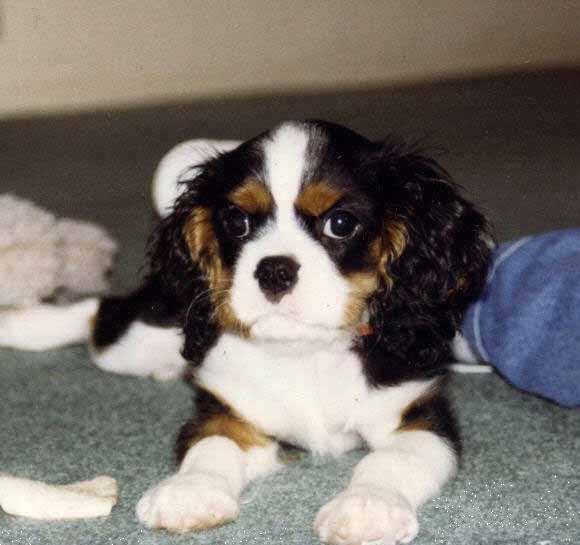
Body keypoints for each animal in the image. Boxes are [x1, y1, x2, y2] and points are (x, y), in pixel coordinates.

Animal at [0, 121, 492, 540]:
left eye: (340, 223)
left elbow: (393, 460)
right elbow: (213, 445)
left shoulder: (418, 415)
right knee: (100, 311)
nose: (274, 270)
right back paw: (21, 322)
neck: (306, 350)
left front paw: (367, 508)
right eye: (236, 222)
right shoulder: (231, 411)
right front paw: (190, 492)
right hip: (137, 339)